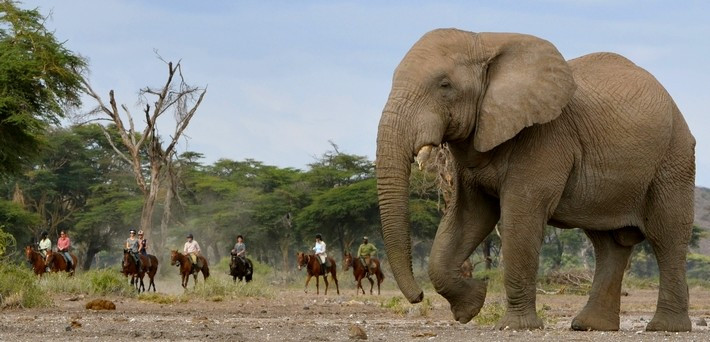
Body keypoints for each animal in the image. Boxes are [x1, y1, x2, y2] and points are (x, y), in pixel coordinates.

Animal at [376, 28, 700, 332]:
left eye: (445, 85)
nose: (418, 296)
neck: (485, 42)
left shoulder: (545, 137)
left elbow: (520, 217)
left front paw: (515, 326)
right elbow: (468, 217)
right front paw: (471, 306)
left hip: (674, 156)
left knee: (666, 235)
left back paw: (665, 327)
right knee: (608, 244)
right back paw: (590, 326)